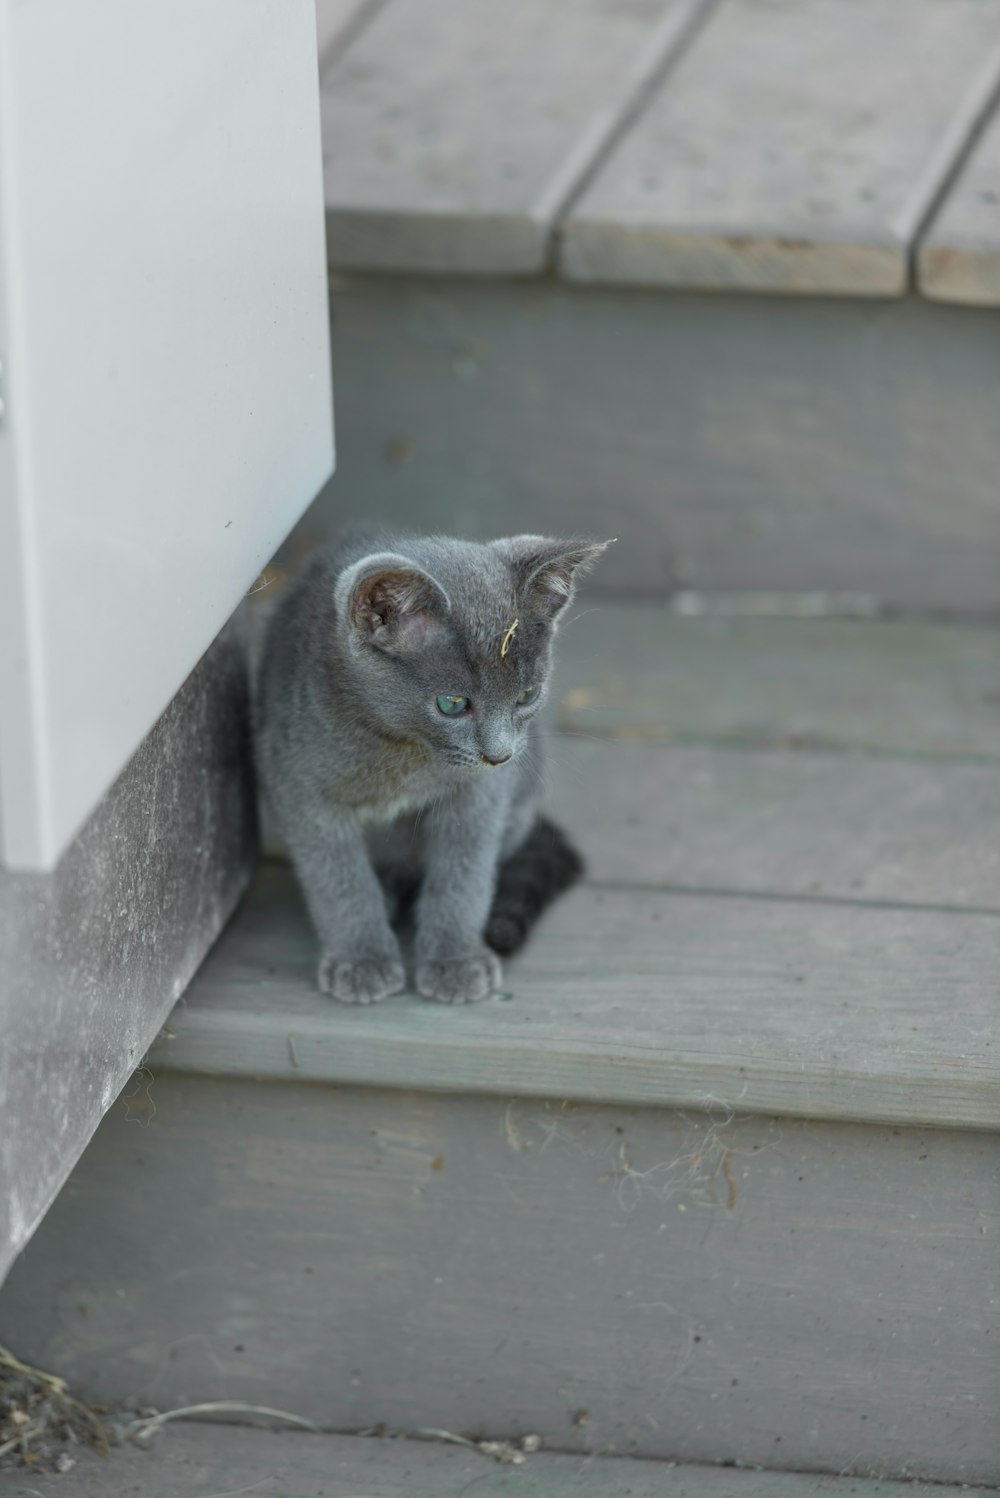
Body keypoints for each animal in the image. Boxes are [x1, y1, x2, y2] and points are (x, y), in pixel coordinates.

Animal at [254, 527, 604, 1006]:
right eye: (452, 704)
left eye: (527, 696)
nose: (499, 755)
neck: (403, 751)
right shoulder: (300, 789)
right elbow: (338, 878)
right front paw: (362, 960)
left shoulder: (480, 795)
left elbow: (464, 875)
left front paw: (456, 960)